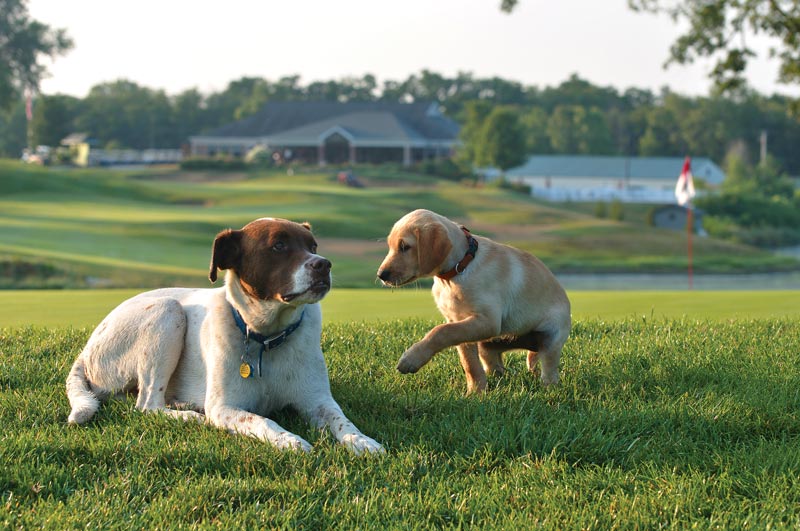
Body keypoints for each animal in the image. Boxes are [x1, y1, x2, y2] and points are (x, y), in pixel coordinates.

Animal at [65, 218, 384, 456]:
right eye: (278, 245)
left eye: (313, 245)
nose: (324, 264)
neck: (266, 338)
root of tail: (86, 349)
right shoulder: (224, 408)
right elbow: (262, 420)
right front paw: (290, 440)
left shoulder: (318, 401)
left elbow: (342, 421)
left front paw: (363, 441)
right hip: (168, 312)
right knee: (147, 405)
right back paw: (188, 415)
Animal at [378, 210, 572, 392]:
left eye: (405, 247)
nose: (381, 275)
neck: (457, 271)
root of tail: (527, 342)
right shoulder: (460, 321)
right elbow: (469, 362)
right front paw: (475, 392)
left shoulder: (487, 321)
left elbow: (441, 331)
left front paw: (412, 358)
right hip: (488, 345)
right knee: (494, 366)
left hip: (550, 340)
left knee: (549, 372)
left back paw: (548, 389)